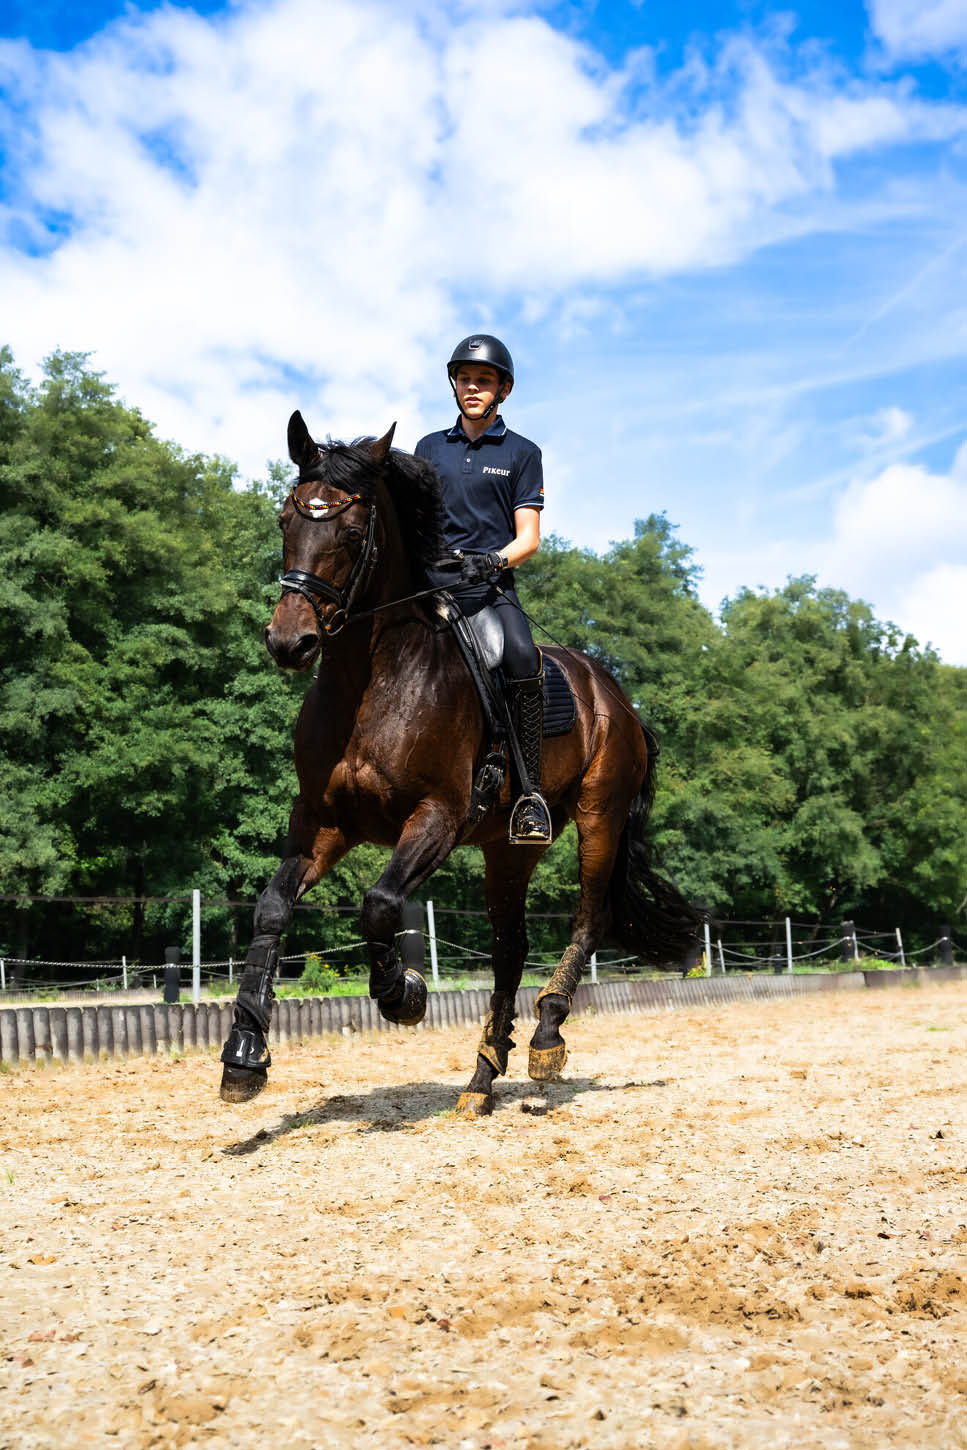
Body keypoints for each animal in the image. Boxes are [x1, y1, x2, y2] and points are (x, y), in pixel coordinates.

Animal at [219, 412, 702, 1116]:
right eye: (286, 520)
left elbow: (379, 904)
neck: (371, 681)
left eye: (353, 532)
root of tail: (615, 696)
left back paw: (546, 1038)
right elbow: (273, 909)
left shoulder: (438, 816)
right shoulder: (324, 822)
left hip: (599, 816)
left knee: (590, 917)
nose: (290, 642)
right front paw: (244, 1055)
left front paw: (405, 994)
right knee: (509, 948)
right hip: (510, 846)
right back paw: (480, 1079)